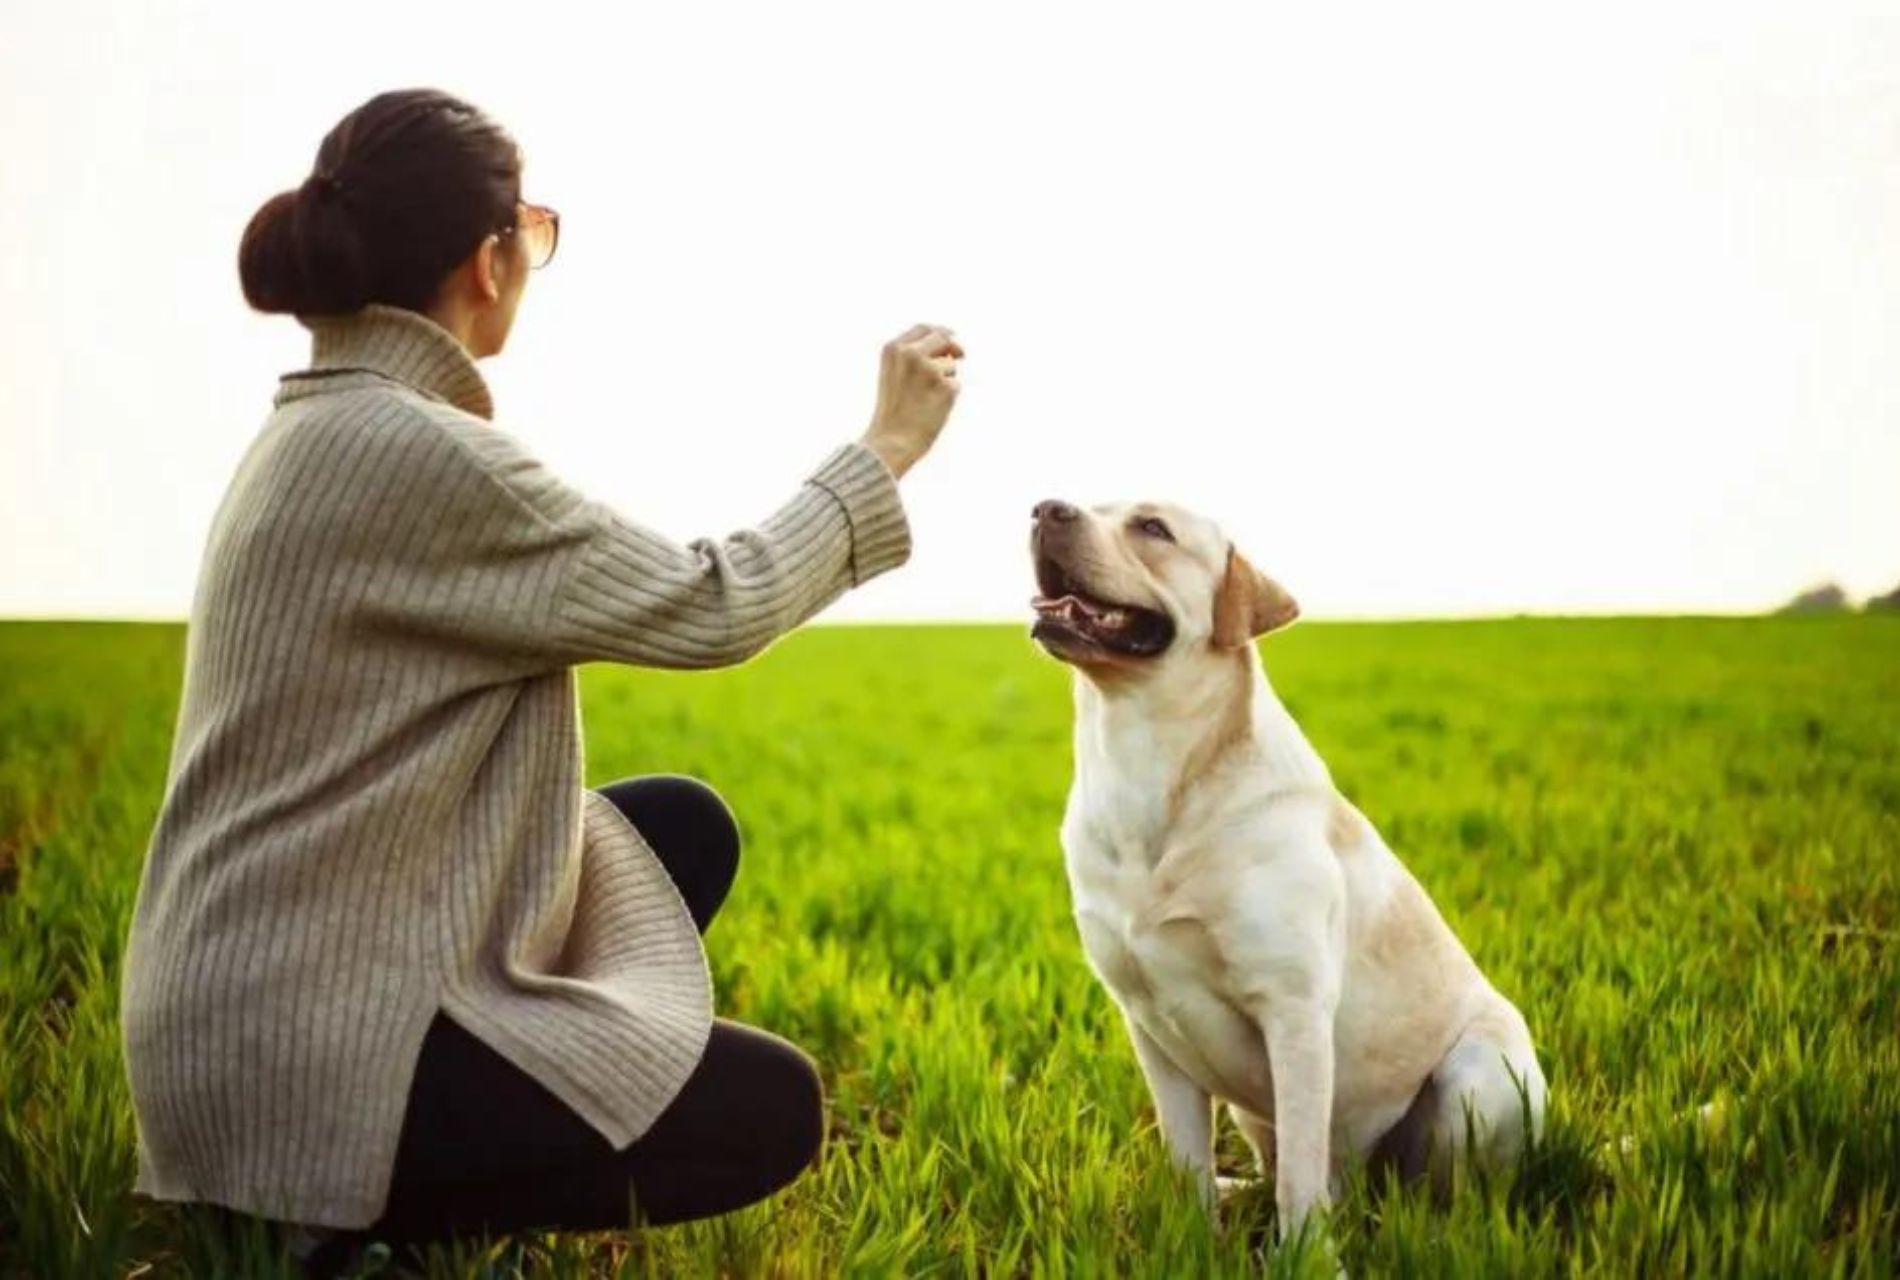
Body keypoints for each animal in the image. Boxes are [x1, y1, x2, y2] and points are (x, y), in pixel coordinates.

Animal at [1033, 493, 1550, 1230]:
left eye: (1153, 527)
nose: (1046, 508)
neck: (1143, 756)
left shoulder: (1294, 1010)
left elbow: (1302, 1181)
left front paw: (1305, 1249)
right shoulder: (1147, 1022)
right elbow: (1188, 1160)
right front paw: (1194, 1236)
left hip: (1480, 1078)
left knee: (1440, 1194)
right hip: (1254, 1115)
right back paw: (1239, 1190)